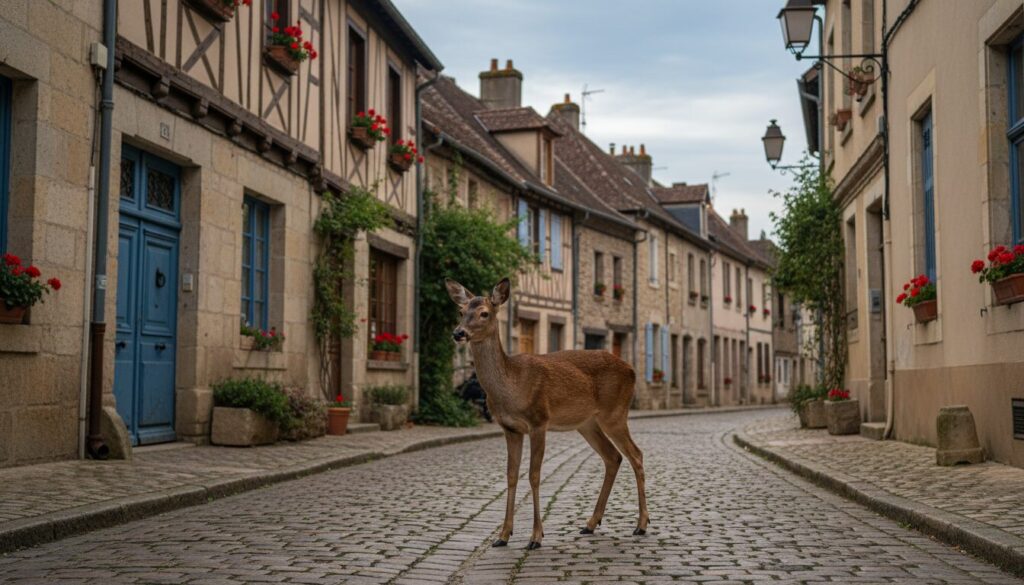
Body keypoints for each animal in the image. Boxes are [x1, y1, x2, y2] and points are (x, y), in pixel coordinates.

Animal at [447, 277, 649, 550]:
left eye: (484, 313)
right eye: (460, 311)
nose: (458, 333)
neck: (512, 386)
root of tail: (632, 370)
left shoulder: (538, 421)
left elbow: (534, 475)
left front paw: (535, 537)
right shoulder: (510, 428)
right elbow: (511, 475)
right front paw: (503, 536)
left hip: (614, 413)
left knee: (636, 455)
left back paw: (641, 525)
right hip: (588, 423)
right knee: (613, 457)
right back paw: (590, 523)